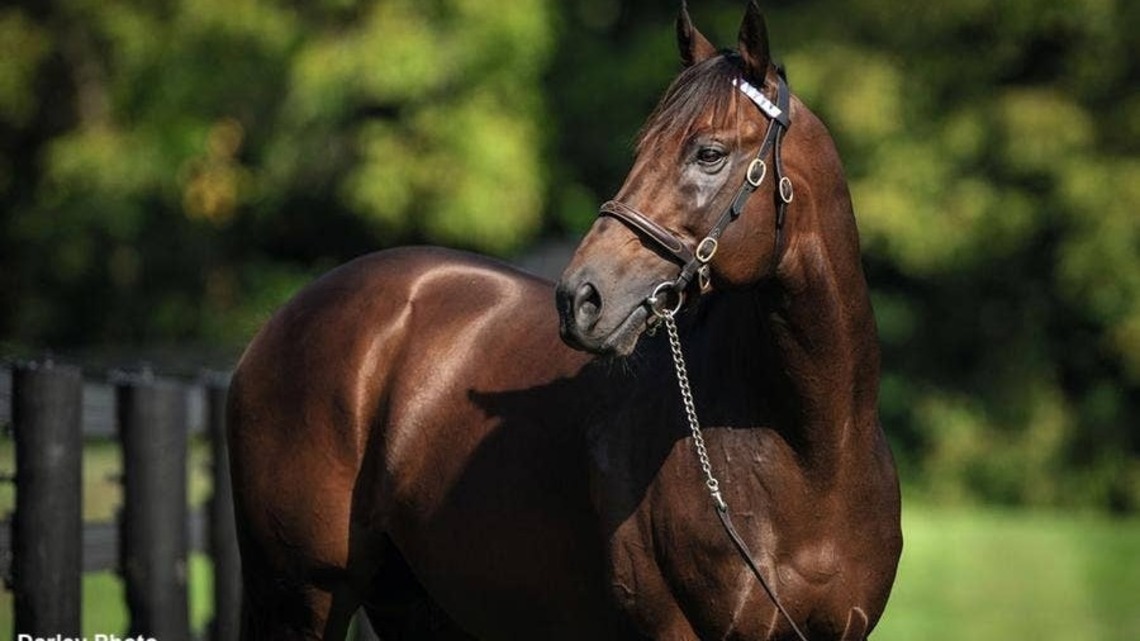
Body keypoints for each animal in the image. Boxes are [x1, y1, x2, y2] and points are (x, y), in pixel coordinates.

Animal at [226, 2, 902, 639]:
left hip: (414, 603)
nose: (581, 298)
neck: (809, 455)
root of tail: (280, 323)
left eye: (709, 153)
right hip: (302, 598)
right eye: (641, 148)